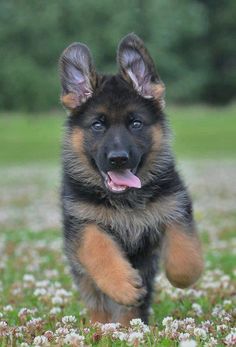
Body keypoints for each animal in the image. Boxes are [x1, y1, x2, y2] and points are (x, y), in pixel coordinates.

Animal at [58, 34, 203, 324]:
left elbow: (185, 252)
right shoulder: (83, 222)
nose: (118, 159)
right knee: (99, 304)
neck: (126, 201)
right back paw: (101, 328)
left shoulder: (174, 206)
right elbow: (99, 249)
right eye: (98, 125)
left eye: (135, 123)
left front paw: (185, 275)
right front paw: (123, 285)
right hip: (85, 278)